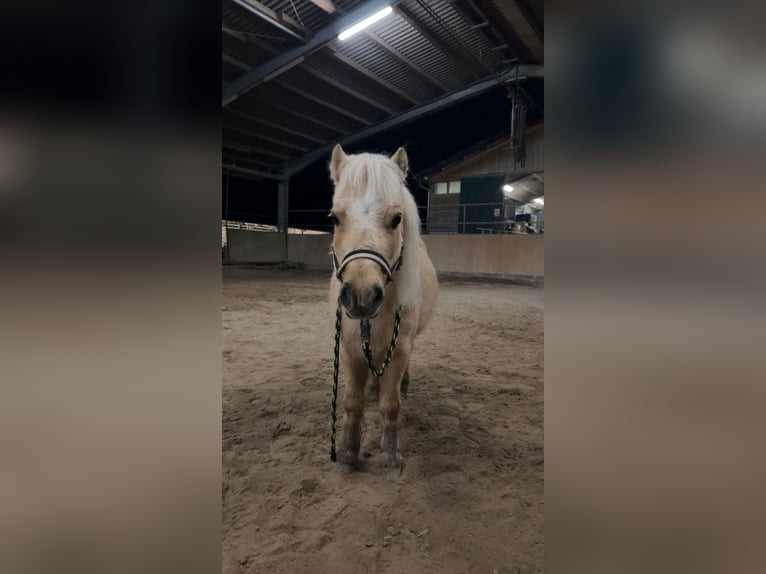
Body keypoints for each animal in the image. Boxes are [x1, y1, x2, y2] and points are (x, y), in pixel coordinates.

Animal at [327, 143, 438, 473]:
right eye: (335, 218)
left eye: (396, 219)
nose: (362, 296)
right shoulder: (350, 348)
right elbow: (352, 402)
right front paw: (348, 452)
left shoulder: (399, 347)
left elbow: (391, 405)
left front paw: (390, 455)